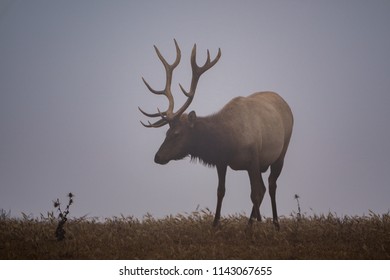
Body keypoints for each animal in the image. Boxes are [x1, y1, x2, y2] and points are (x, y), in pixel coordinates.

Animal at [140, 39, 292, 229]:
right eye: (166, 132)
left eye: (177, 133)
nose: (158, 157)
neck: (229, 142)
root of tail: (287, 104)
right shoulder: (222, 161)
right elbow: (221, 191)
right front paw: (215, 224)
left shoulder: (254, 159)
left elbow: (254, 194)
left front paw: (258, 226)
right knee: (264, 188)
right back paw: (252, 224)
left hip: (281, 153)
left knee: (271, 186)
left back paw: (275, 224)